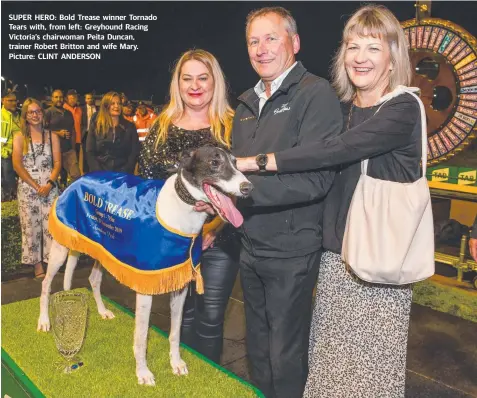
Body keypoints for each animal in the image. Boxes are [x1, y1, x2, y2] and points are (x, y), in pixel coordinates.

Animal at [37, 146, 253, 386]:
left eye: (236, 162)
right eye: (214, 163)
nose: (248, 187)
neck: (182, 207)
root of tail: (79, 178)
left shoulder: (179, 287)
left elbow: (175, 332)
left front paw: (176, 363)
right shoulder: (146, 287)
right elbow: (141, 337)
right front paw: (143, 373)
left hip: (104, 249)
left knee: (93, 279)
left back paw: (102, 311)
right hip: (61, 246)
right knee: (46, 283)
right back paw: (44, 320)